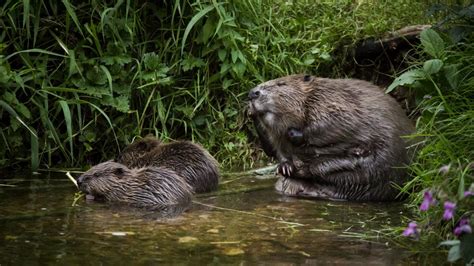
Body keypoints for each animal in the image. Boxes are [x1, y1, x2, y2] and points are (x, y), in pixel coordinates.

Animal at [248, 74, 414, 201]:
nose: (252, 93)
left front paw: (295, 134)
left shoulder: (336, 102)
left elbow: (333, 121)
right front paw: (285, 167)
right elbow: (279, 150)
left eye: (281, 84)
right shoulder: (277, 137)